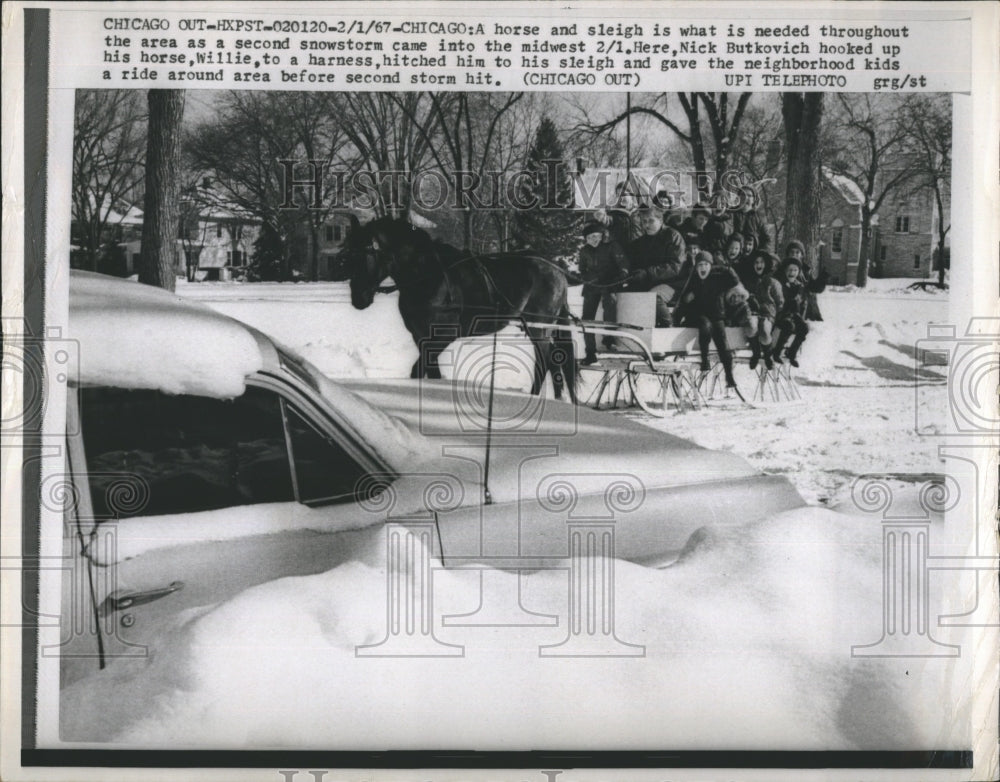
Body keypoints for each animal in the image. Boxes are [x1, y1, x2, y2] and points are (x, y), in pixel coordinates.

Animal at [342, 216, 580, 404]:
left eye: (365, 256)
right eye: (349, 255)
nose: (358, 298)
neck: (428, 276)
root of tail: (556, 269)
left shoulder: (443, 336)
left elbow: (422, 370)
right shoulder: (420, 336)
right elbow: (428, 372)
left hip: (539, 326)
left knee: (544, 360)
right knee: (554, 360)